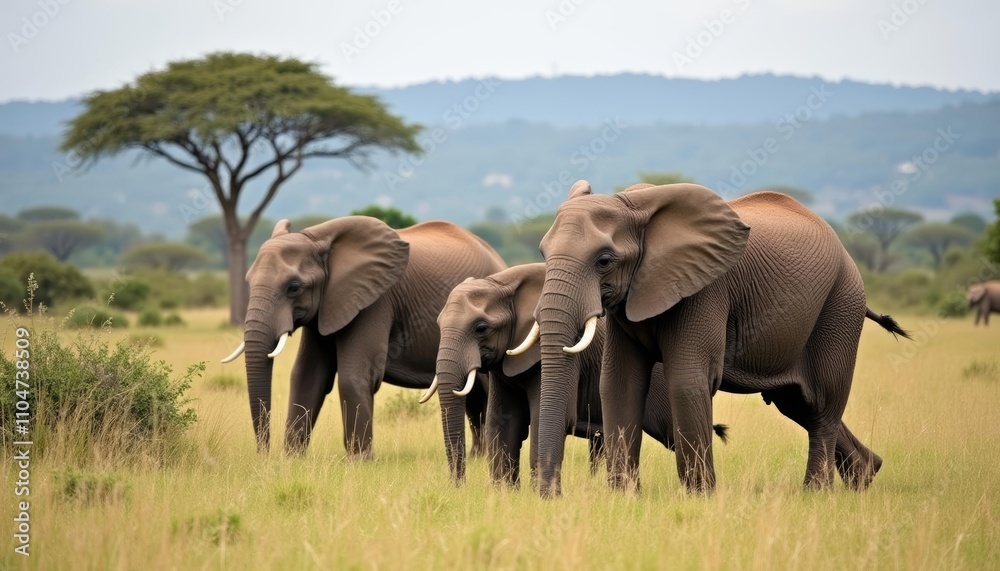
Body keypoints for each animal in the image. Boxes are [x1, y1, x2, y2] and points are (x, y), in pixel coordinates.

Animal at [220, 216, 506, 457]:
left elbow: (355, 375)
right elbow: (307, 375)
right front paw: (291, 459)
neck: (318, 238)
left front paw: (359, 462)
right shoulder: (328, 304)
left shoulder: (375, 300)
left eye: (293, 287)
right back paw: (477, 457)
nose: (263, 453)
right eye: (248, 281)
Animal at [420, 262, 727, 485]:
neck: (504, 282)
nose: (459, 485)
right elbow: (502, 423)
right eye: (438, 324)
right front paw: (503, 495)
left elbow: (541, 417)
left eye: (481, 328)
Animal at [525, 181, 910, 497]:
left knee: (822, 405)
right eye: (542, 254)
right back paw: (865, 477)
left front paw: (699, 497)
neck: (634, 205)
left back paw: (816, 494)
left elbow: (686, 381)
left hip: (839, 306)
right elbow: (619, 383)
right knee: (797, 403)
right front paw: (623, 497)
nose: (552, 495)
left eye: (604, 261)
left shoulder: (706, 288)